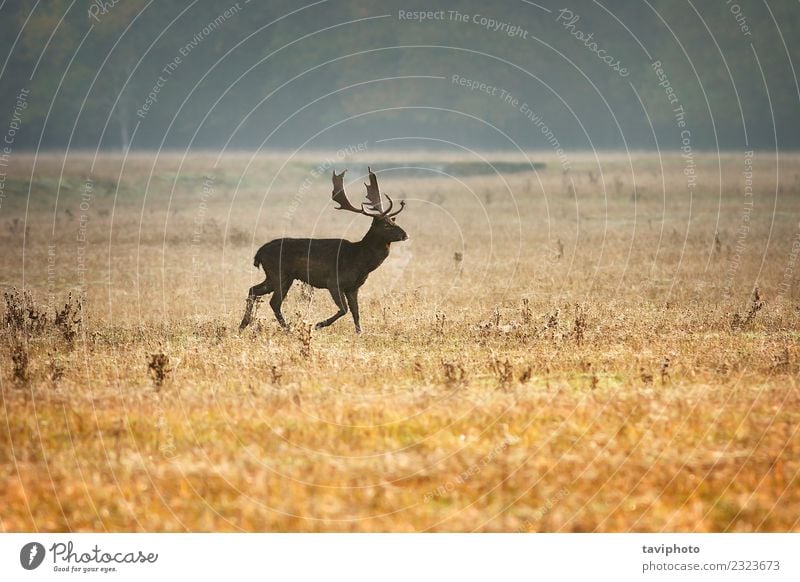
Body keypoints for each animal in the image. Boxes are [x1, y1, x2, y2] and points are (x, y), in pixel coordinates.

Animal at [239, 167, 406, 336]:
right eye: (385, 225)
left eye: (393, 220)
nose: (405, 234)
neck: (360, 260)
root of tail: (259, 252)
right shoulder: (334, 282)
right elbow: (344, 309)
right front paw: (318, 324)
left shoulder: (353, 287)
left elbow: (356, 312)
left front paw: (359, 332)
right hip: (280, 274)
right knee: (274, 302)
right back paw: (288, 329)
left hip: (274, 276)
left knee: (253, 290)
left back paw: (243, 325)